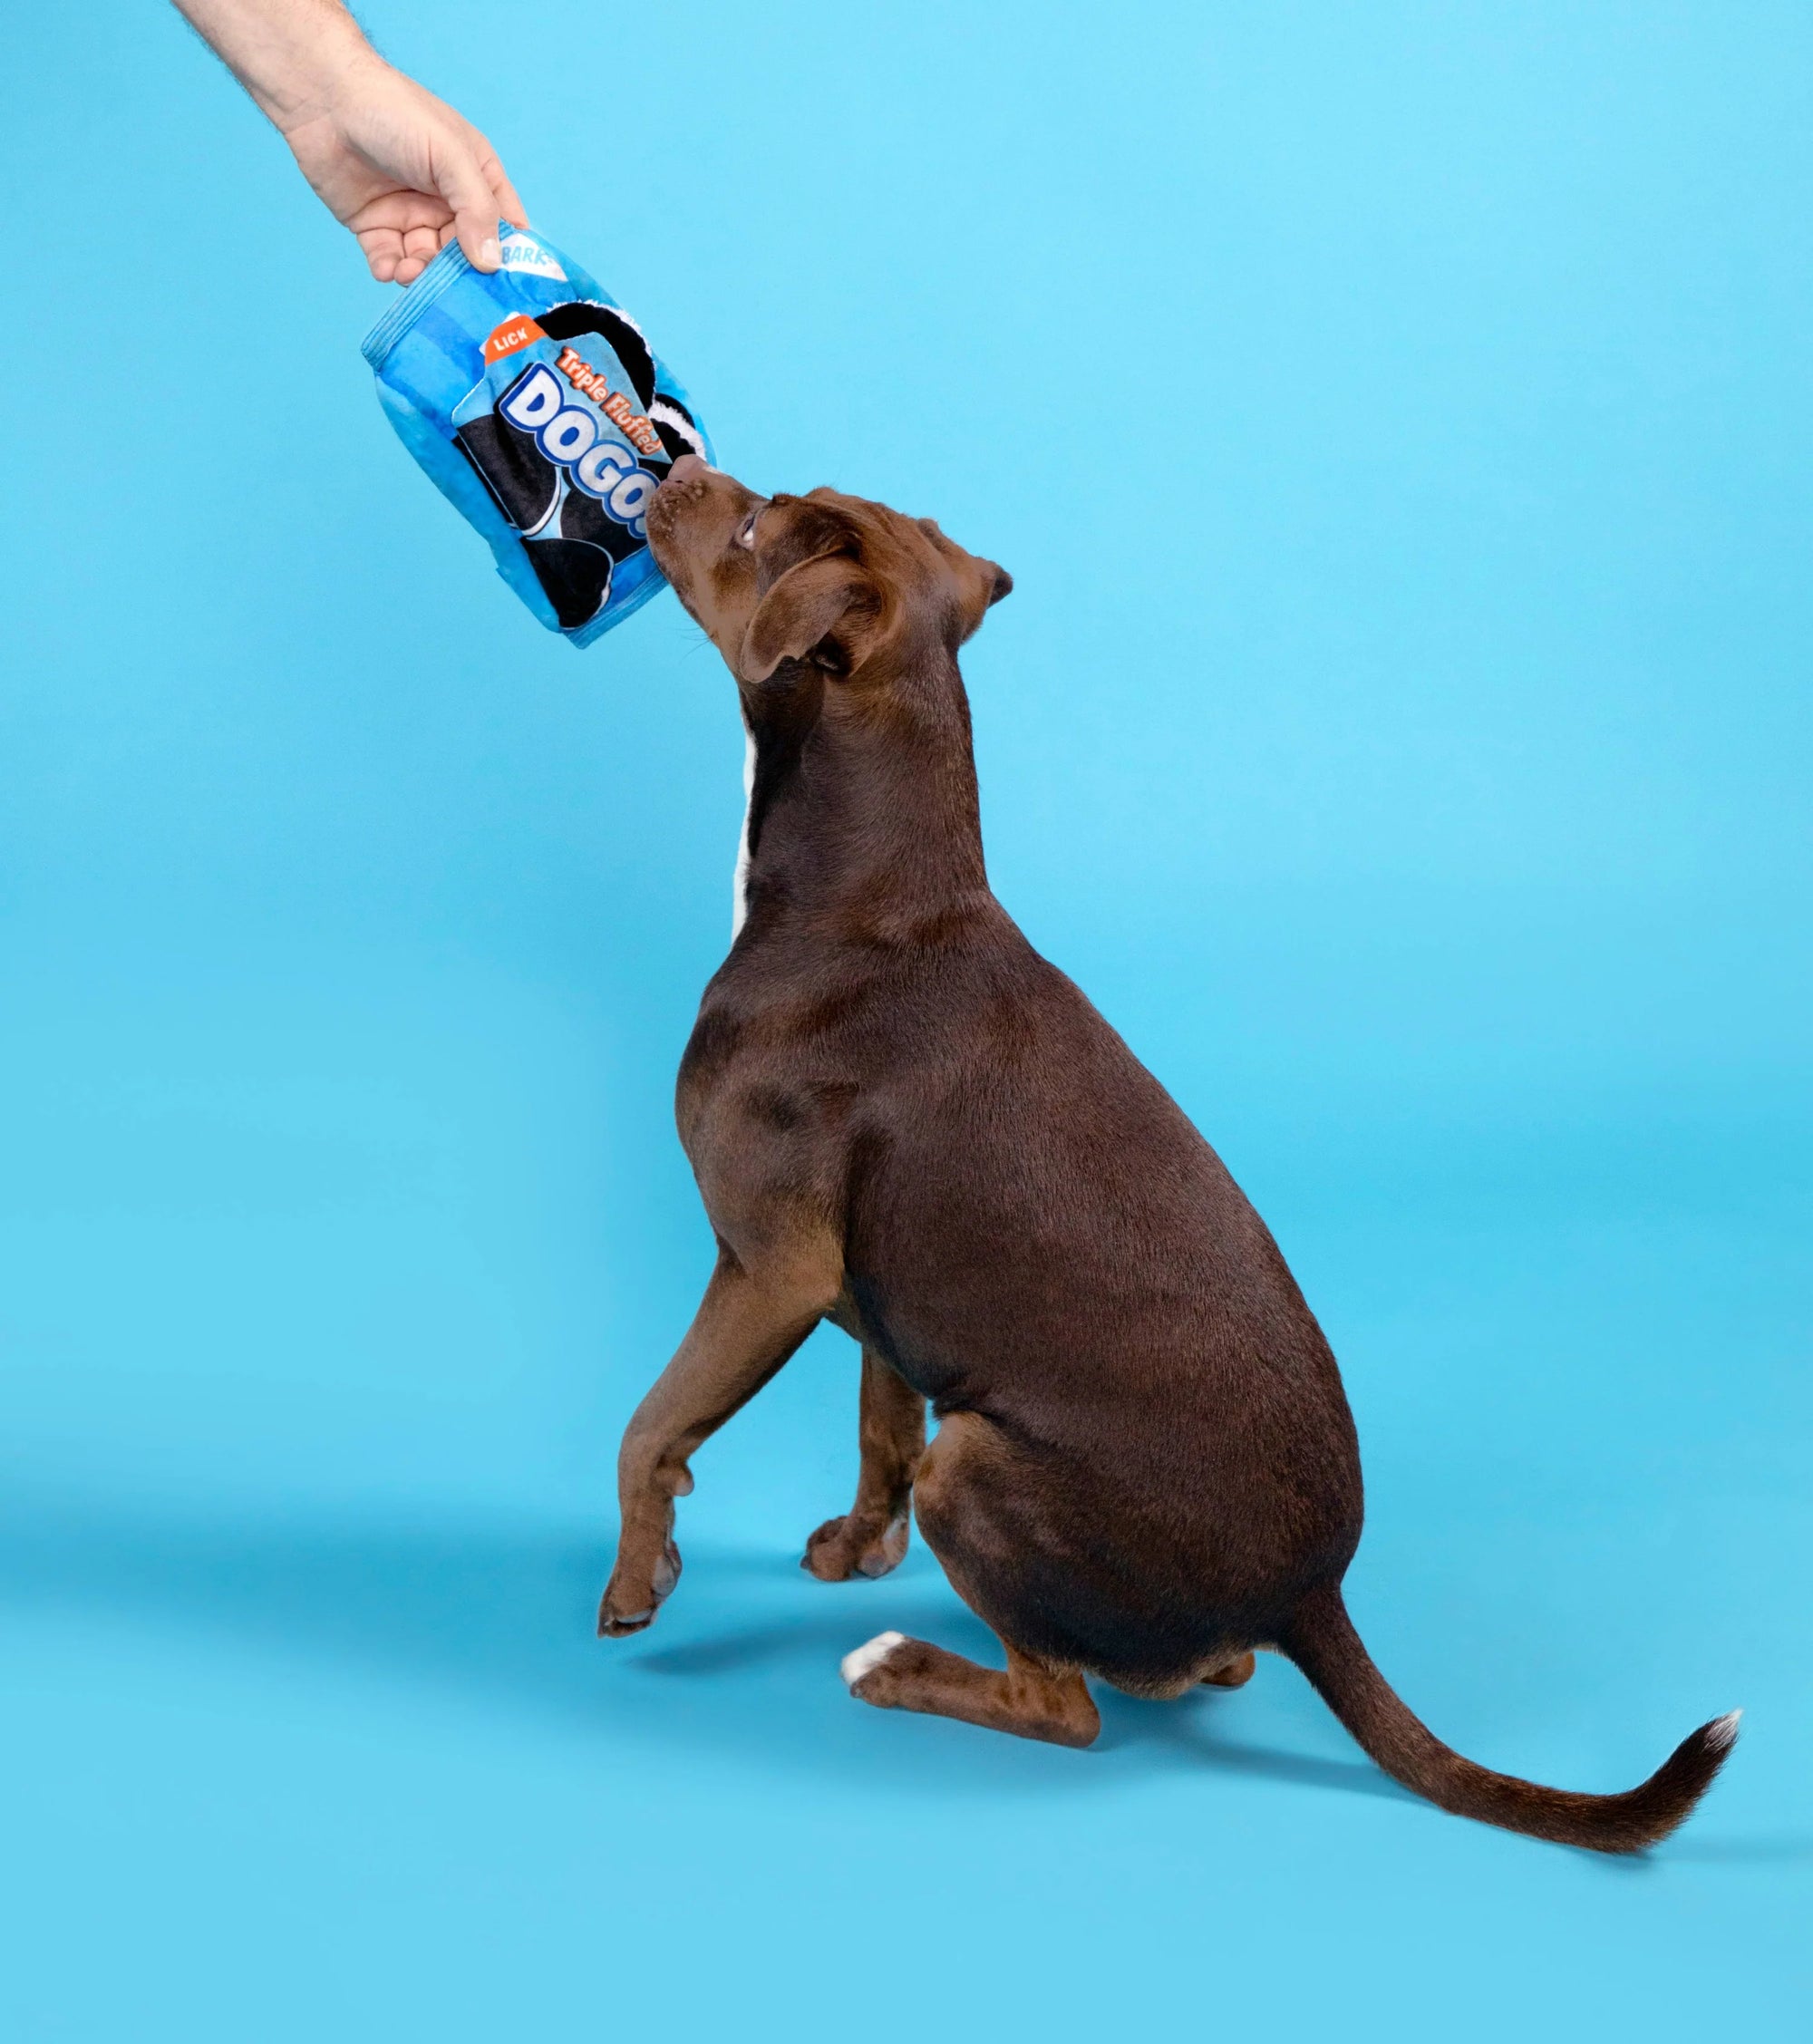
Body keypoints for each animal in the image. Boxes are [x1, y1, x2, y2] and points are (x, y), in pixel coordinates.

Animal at [600, 460, 1733, 1855]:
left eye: (758, 522)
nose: (670, 468)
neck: (873, 897)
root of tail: (1310, 1595)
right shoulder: (869, 1296)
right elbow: (877, 1423)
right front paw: (857, 1546)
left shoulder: (769, 1269)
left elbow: (649, 1426)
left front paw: (636, 1581)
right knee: (1191, 1662)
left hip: (980, 1463)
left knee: (1066, 1707)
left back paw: (901, 1663)